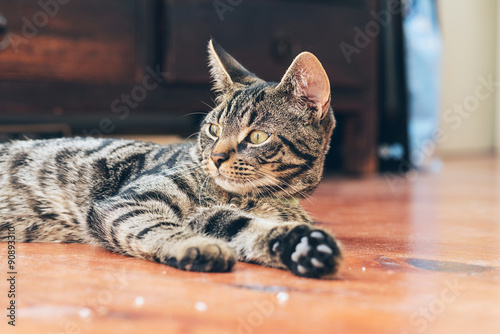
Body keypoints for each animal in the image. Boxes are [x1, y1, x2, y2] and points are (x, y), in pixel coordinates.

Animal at [0, 39, 342, 280]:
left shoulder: (211, 216)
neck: (257, 199)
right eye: (214, 129)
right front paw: (195, 246)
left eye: (257, 136)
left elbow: (242, 226)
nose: (216, 157)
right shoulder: (129, 202)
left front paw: (302, 247)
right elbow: (156, 227)